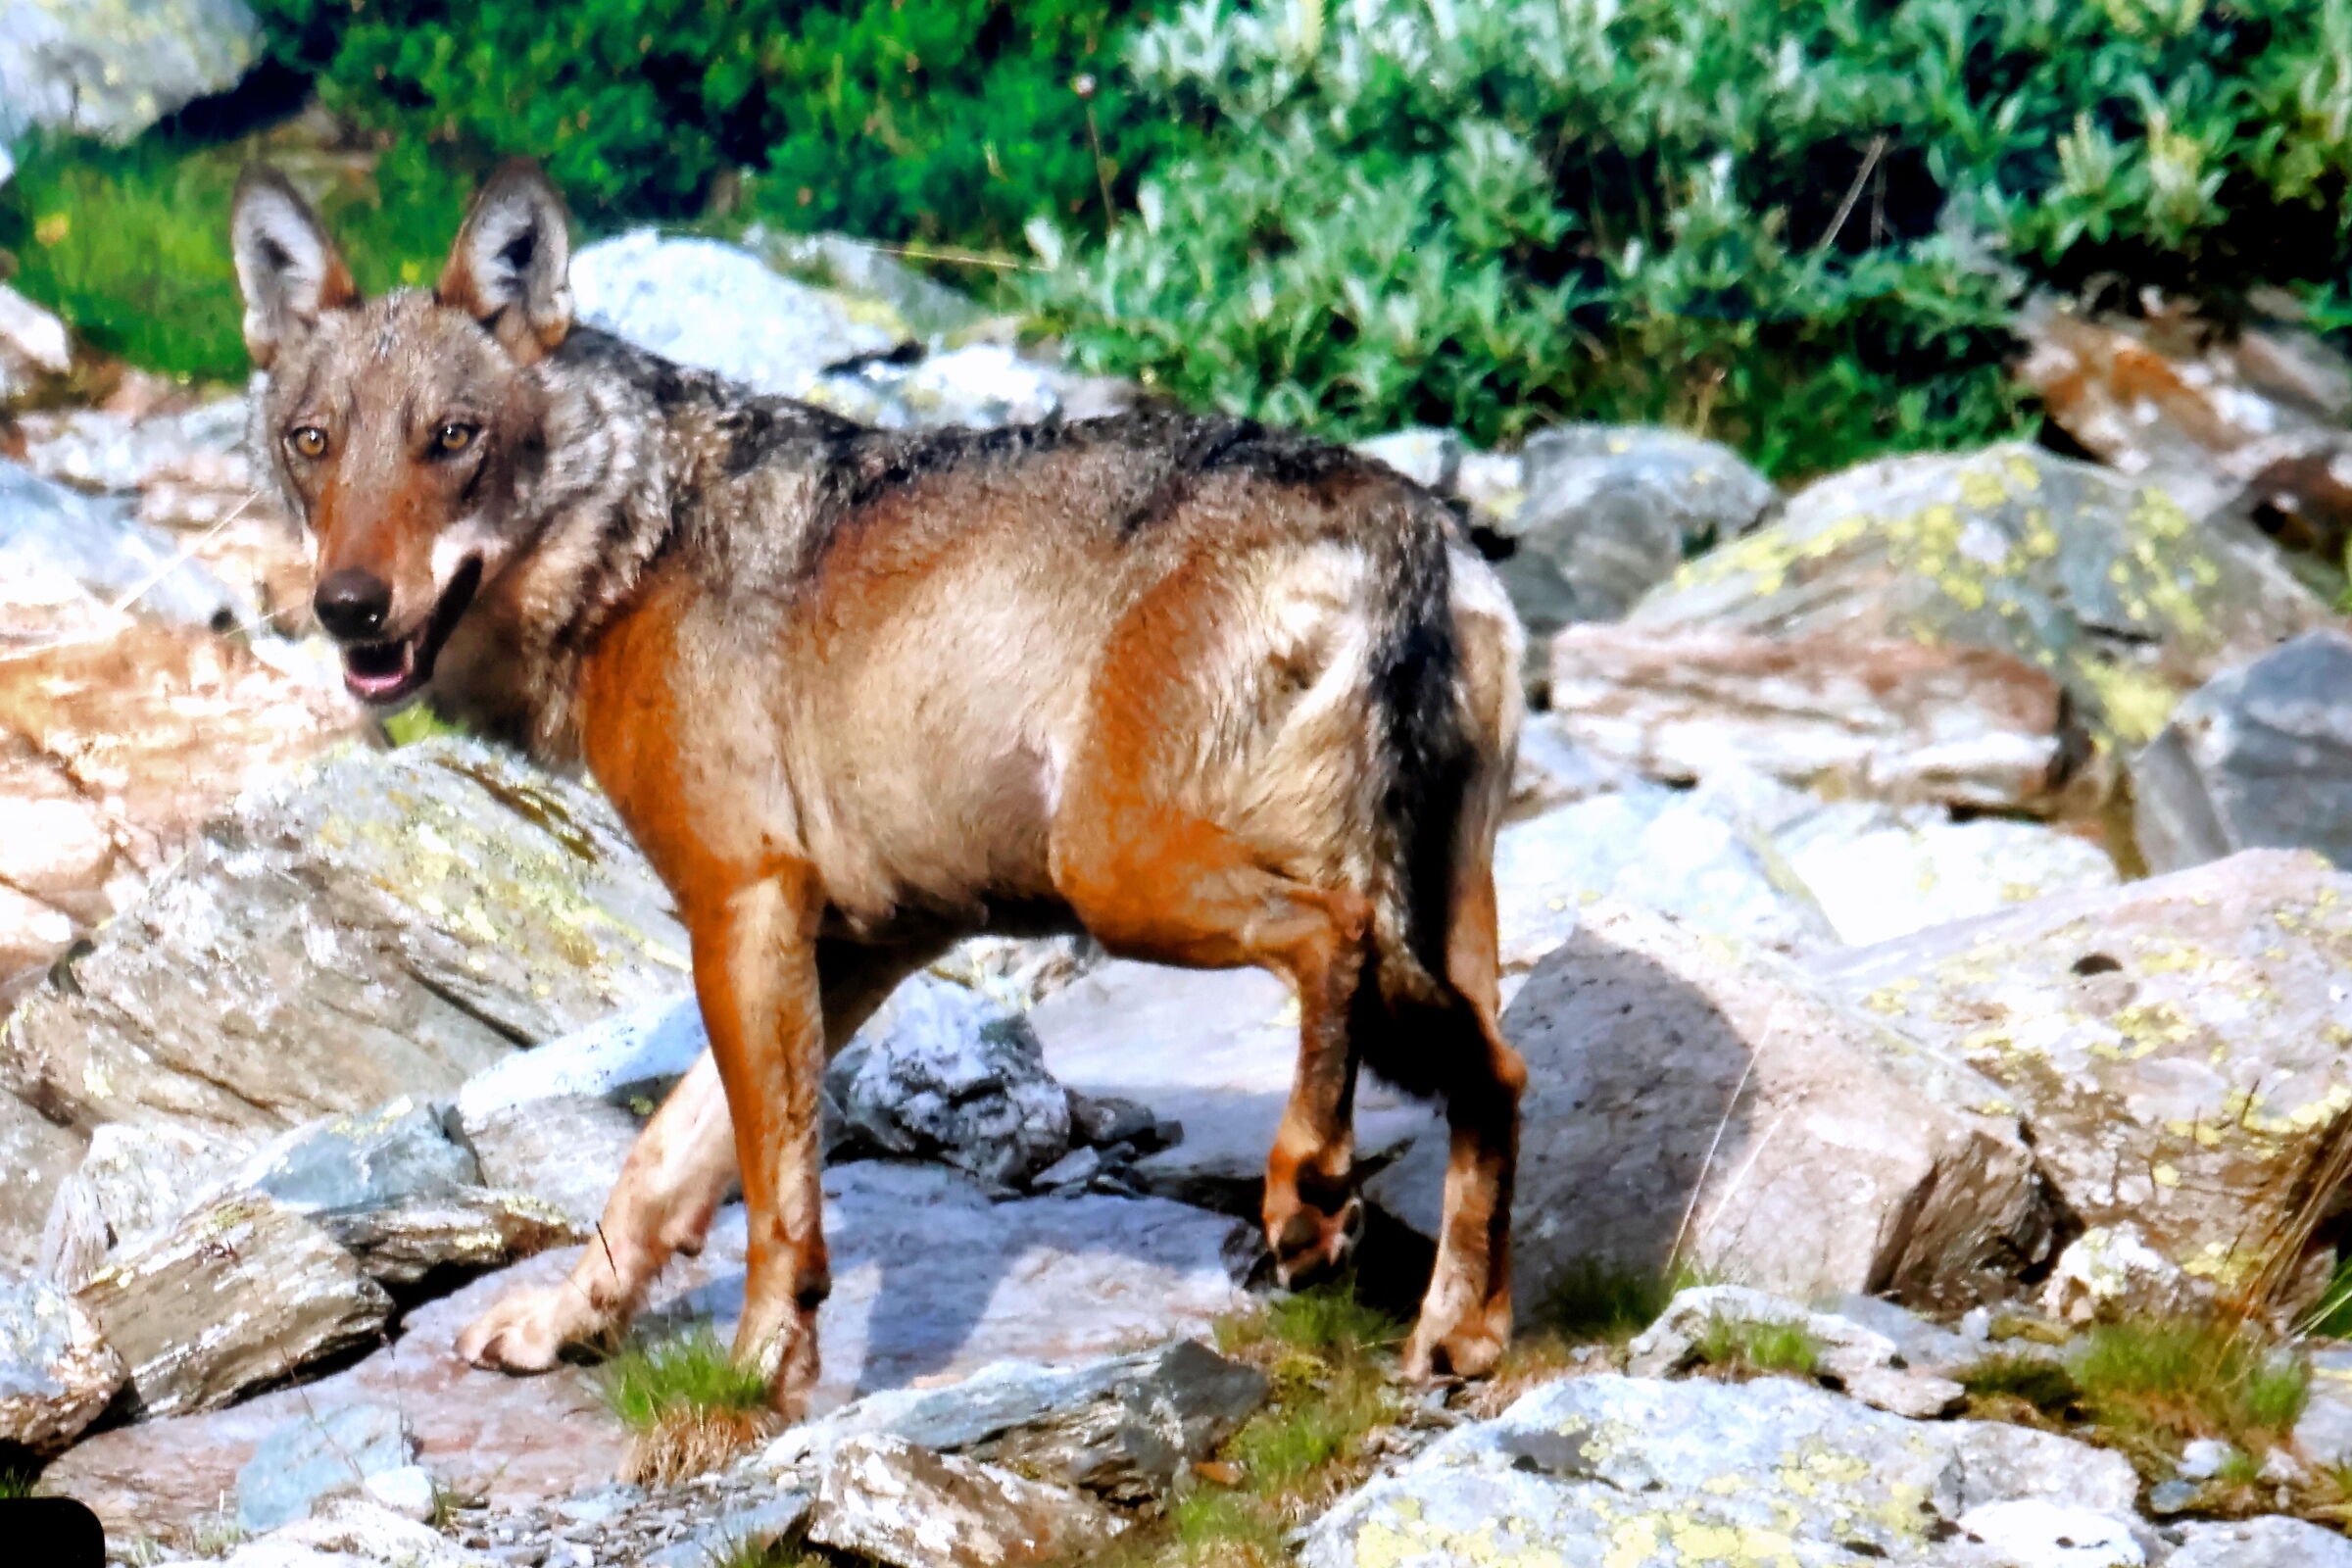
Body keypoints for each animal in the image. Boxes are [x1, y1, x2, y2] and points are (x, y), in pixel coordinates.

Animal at [229, 159, 1527, 1414]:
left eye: (452, 437)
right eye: (313, 442)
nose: (348, 606)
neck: (635, 550)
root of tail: (1405, 520)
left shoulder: (743, 903)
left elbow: (770, 1186)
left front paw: (763, 1368)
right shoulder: (860, 937)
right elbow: (664, 1163)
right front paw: (565, 1323)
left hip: (1121, 875)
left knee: (1331, 938)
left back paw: (1307, 1194)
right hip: (1415, 937)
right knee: (1497, 1075)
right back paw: (1461, 1335)